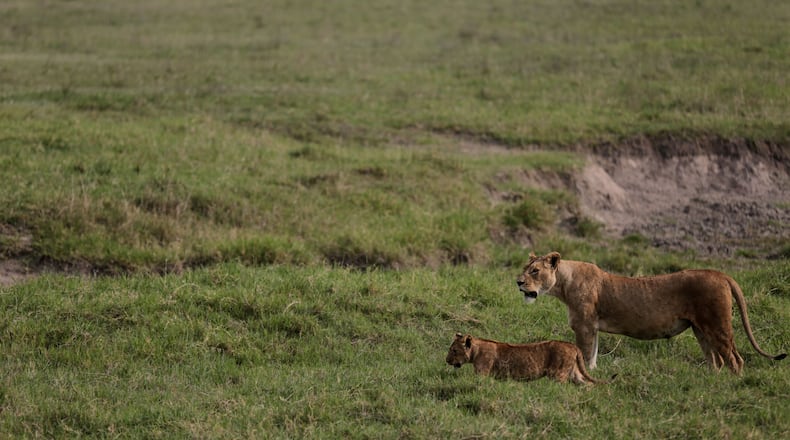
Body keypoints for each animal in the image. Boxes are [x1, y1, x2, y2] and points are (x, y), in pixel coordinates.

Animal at [445, 333, 614, 385]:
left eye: (454, 350)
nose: (446, 361)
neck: (476, 349)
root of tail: (573, 345)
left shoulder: (482, 373)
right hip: (574, 372)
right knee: (587, 384)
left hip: (558, 374)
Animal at [516, 251, 787, 374]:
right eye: (525, 268)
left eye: (535, 271)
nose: (518, 282)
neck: (564, 283)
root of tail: (720, 273)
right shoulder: (592, 327)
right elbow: (592, 354)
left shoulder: (583, 325)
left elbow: (583, 353)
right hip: (701, 329)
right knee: (716, 360)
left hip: (717, 324)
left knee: (734, 359)